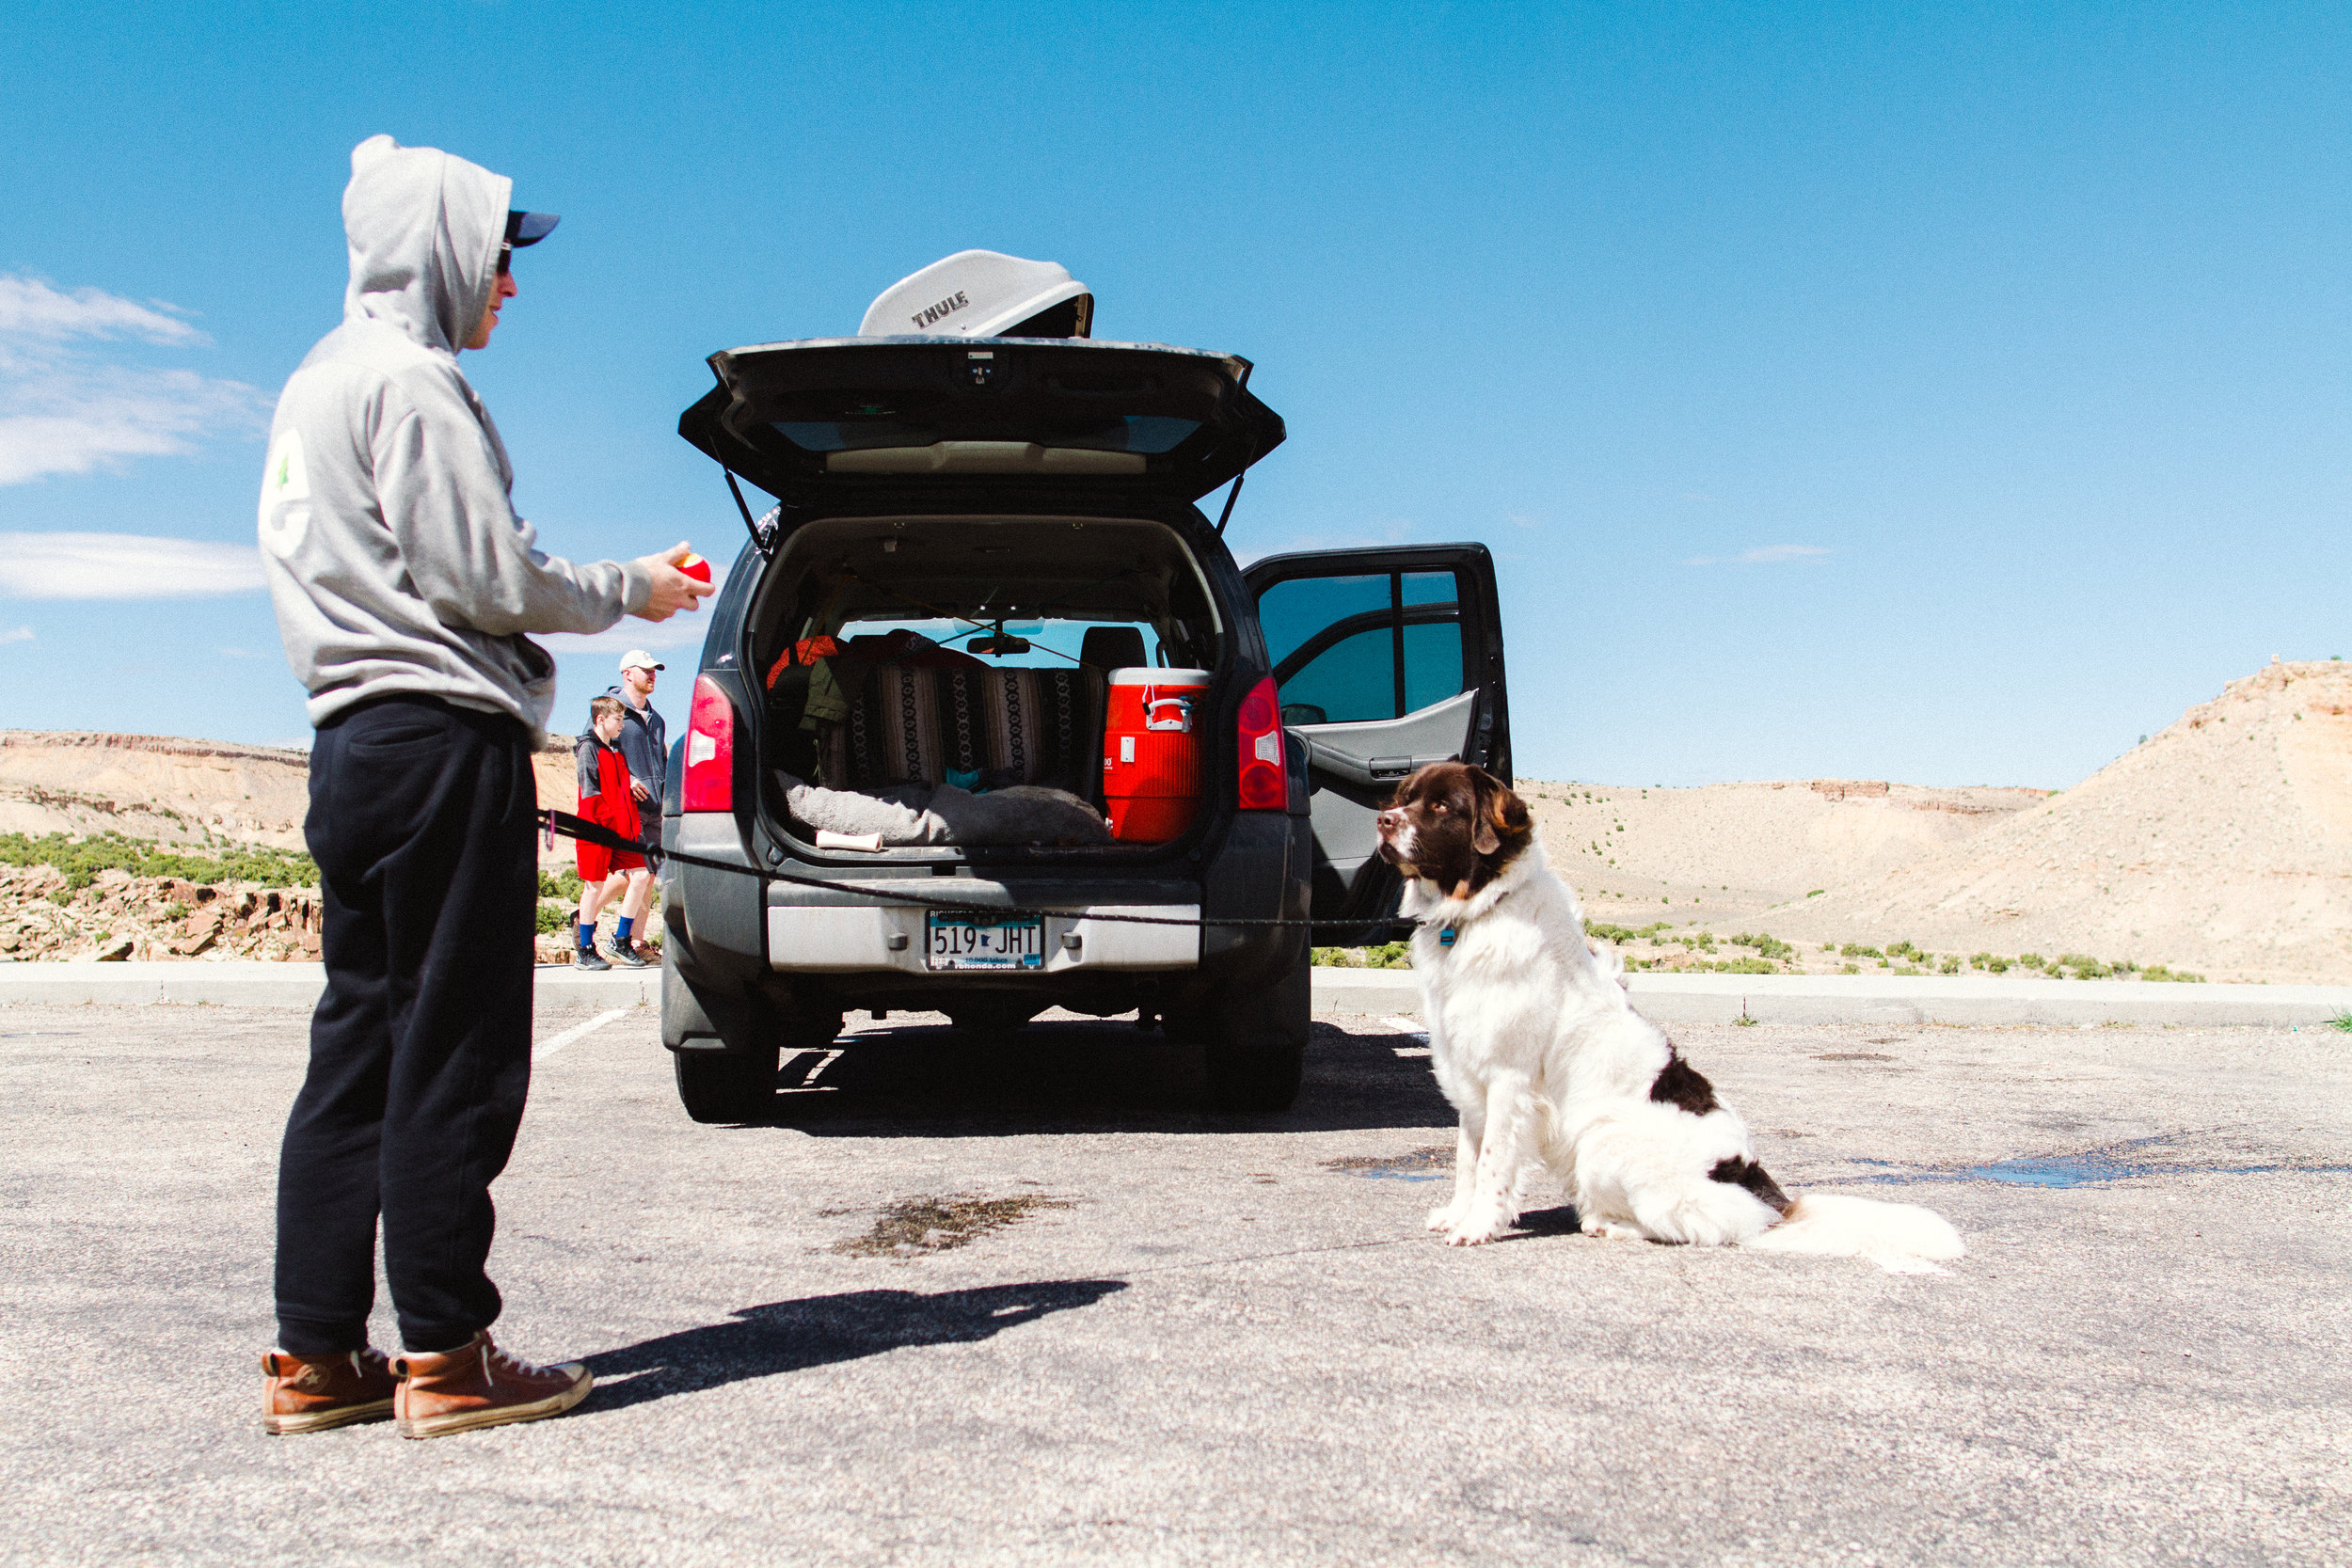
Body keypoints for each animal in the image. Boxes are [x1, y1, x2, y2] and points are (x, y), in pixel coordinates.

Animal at [1374, 761, 1957, 1278]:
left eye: (1442, 806)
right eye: (1404, 796)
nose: (1383, 820)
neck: (1474, 914)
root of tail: (1769, 1202)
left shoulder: (1508, 1081)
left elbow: (1493, 1164)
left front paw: (1477, 1228)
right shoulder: (1469, 1079)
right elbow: (1466, 1162)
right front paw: (1457, 1215)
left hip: (1602, 1142)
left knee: (1689, 1226)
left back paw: (1608, 1224)